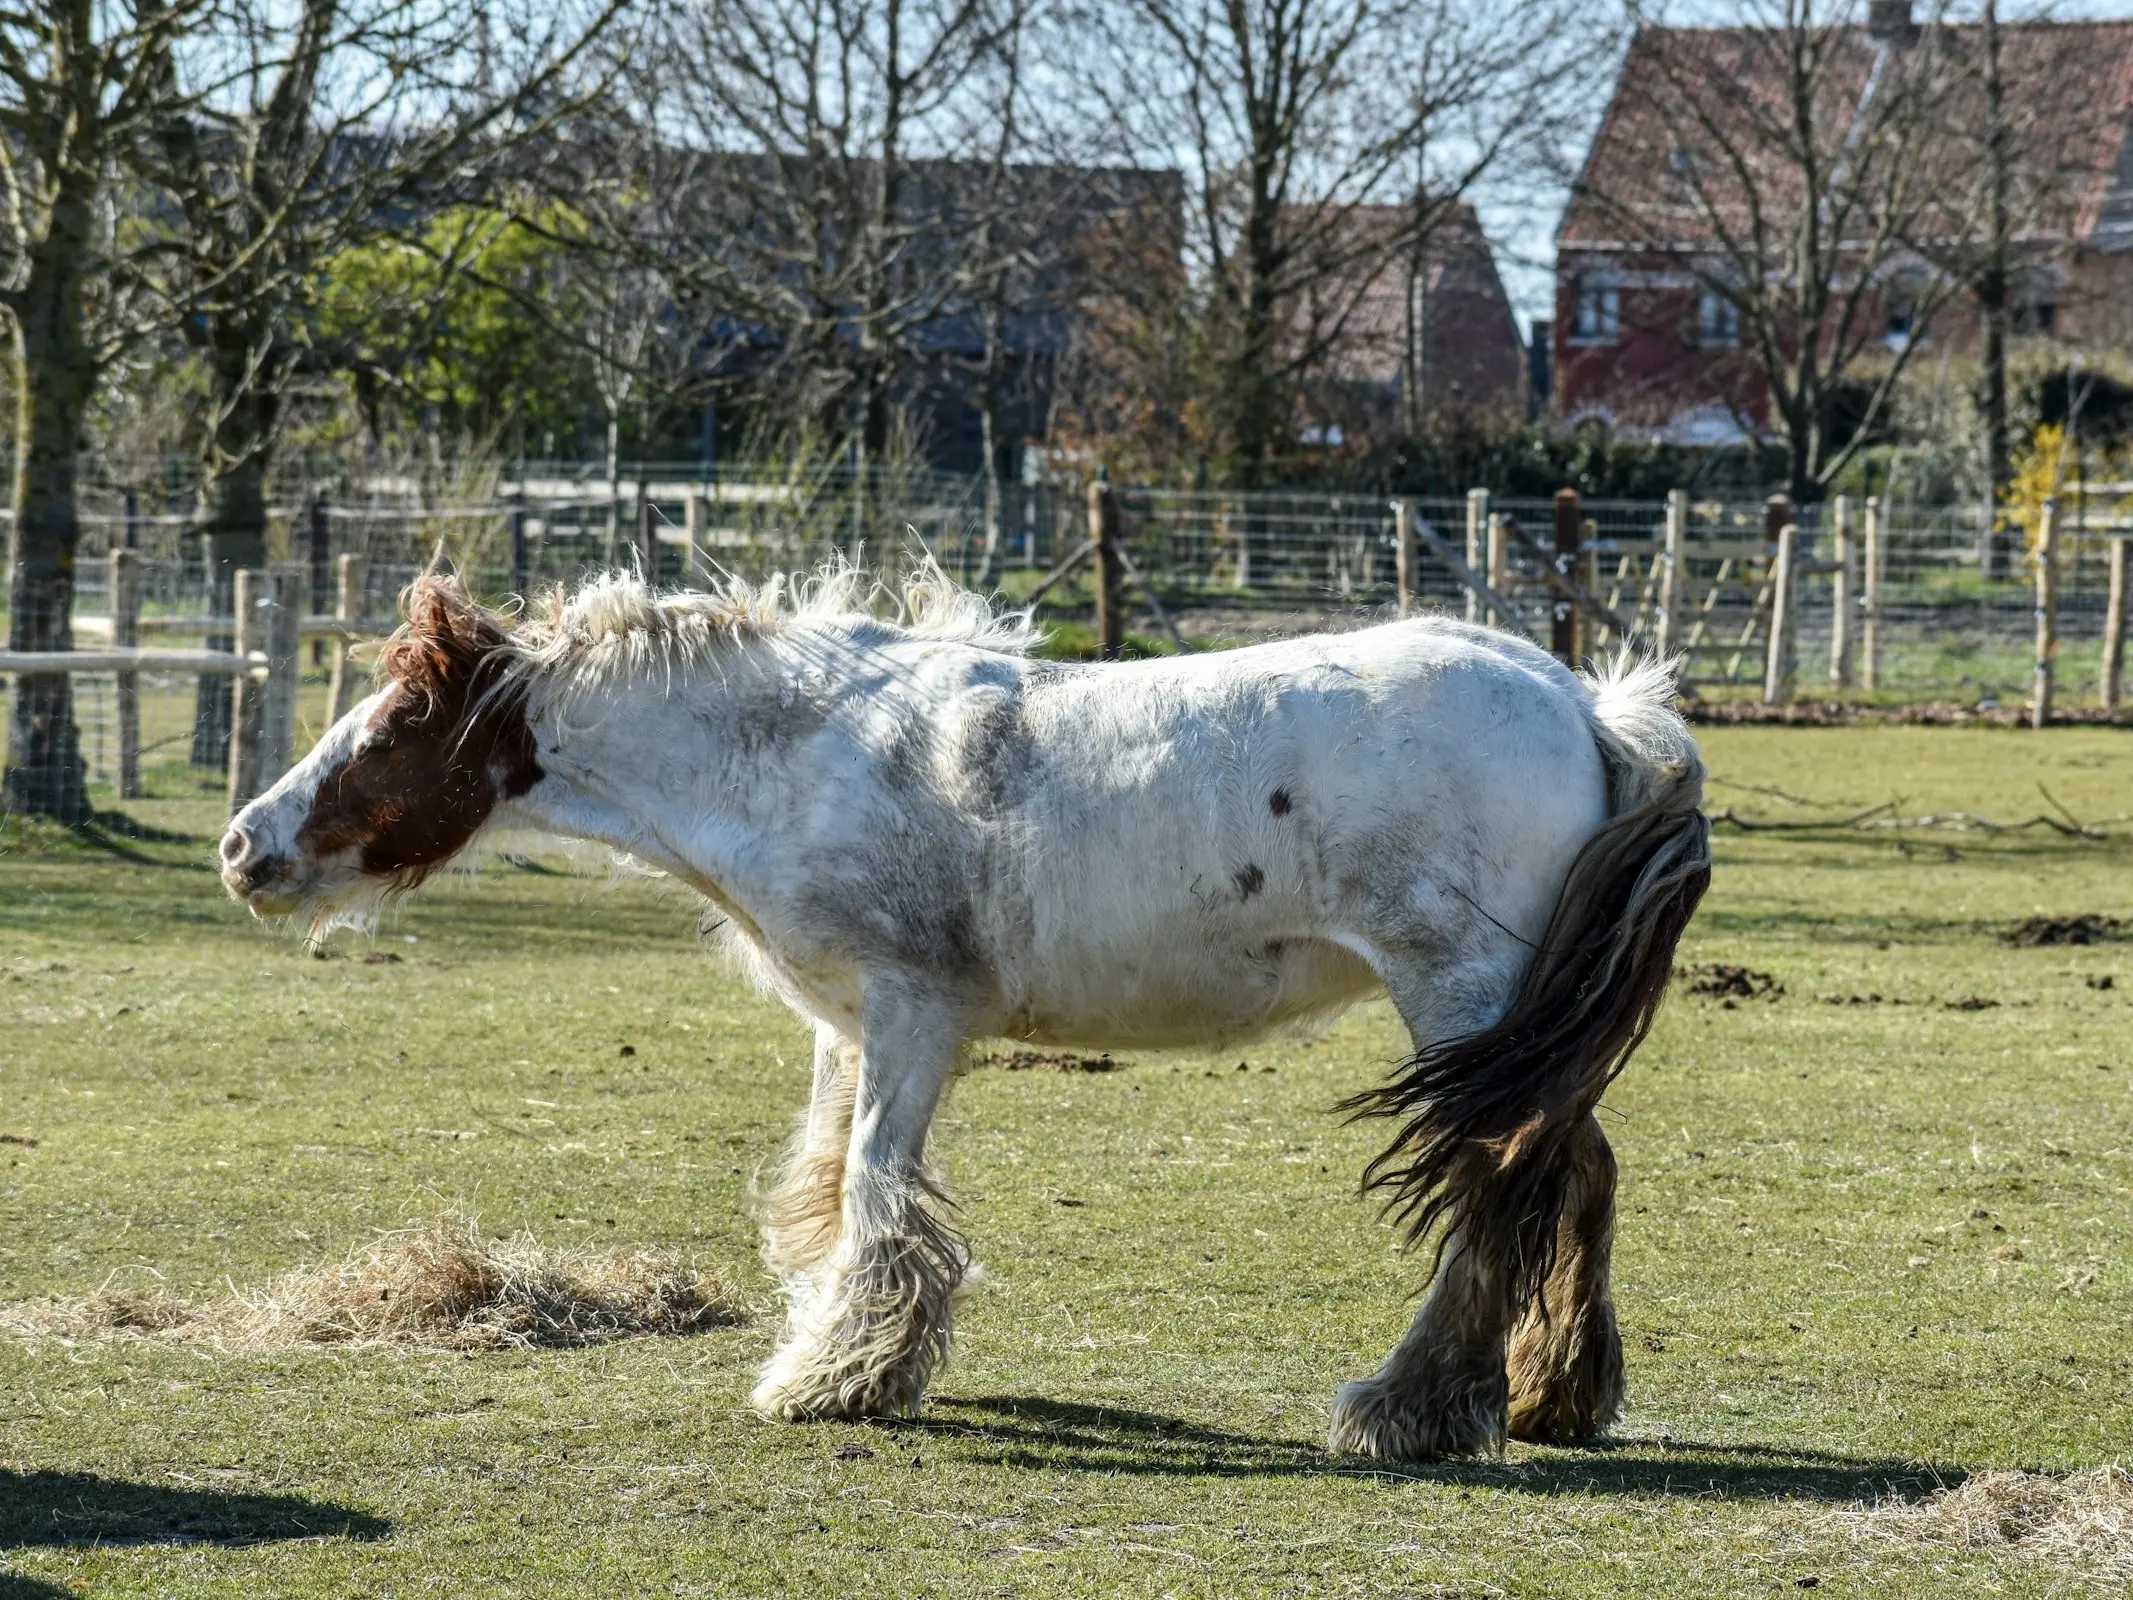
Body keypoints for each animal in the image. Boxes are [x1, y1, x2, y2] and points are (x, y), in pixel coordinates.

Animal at [216, 567, 1706, 1467]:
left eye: (398, 718)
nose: (244, 847)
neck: (801, 757)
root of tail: (1590, 703)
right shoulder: (846, 1030)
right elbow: (824, 1189)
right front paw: (831, 1342)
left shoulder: (914, 1019)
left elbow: (880, 1195)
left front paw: (837, 1376)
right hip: (1517, 1021)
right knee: (1577, 1167)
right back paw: (1553, 1392)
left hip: (1455, 994)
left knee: (1498, 1181)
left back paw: (1409, 1407)